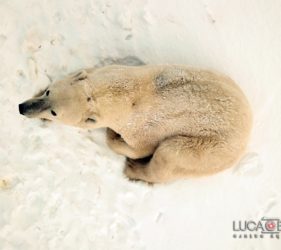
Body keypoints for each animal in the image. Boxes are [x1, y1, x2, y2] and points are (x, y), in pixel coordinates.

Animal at [19, 64, 252, 183]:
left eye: (55, 112)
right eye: (48, 92)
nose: (23, 107)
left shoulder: (142, 128)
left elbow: (140, 148)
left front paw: (112, 136)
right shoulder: (118, 70)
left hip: (213, 147)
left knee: (171, 153)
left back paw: (133, 170)